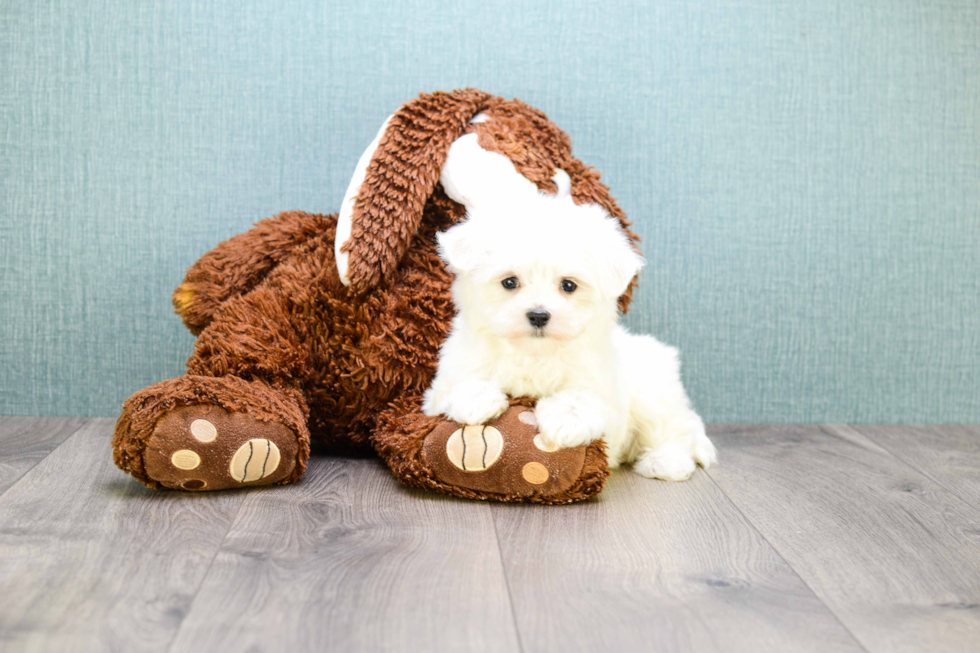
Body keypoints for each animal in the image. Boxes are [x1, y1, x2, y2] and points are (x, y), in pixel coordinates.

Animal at [424, 191, 720, 482]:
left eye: (568, 285)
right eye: (509, 282)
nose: (538, 315)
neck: (534, 354)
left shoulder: (604, 391)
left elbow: (581, 397)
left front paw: (567, 420)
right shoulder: (445, 381)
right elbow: (458, 385)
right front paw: (475, 400)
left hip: (653, 393)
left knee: (673, 429)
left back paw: (666, 462)